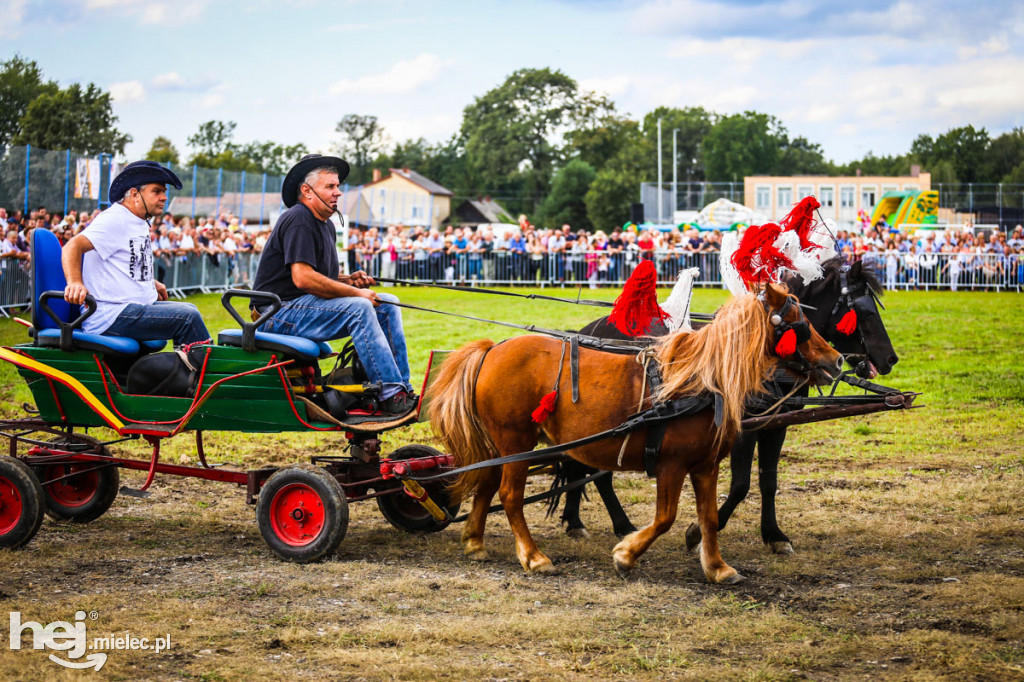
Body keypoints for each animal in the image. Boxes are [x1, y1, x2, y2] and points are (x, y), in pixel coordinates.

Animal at [428, 280, 843, 577]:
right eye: (800, 325)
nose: (837, 360)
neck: (700, 379)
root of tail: (491, 350)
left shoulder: (705, 465)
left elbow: (709, 517)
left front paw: (717, 567)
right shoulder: (671, 465)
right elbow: (665, 517)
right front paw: (626, 554)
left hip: (500, 444)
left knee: (485, 483)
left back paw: (475, 542)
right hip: (516, 441)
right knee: (510, 495)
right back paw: (533, 556)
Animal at [561, 258, 897, 548]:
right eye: (867, 313)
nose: (890, 359)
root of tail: (585, 331)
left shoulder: (776, 425)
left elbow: (768, 481)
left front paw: (774, 535)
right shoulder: (744, 429)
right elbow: (741, 484)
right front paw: (698, 532)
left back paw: (578, 520)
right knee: (593, 469)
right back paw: (618, 524)